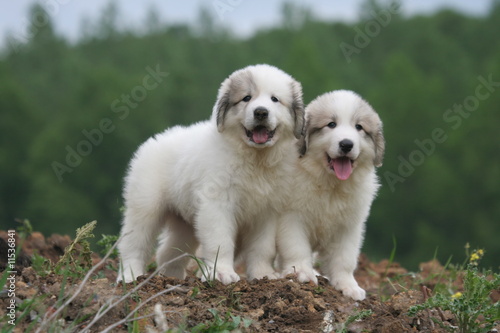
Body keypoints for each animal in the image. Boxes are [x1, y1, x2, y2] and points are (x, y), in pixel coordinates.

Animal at [117, 64, 304, 282]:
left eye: (275, 99)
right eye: (246, 98)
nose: (260, 112)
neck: (254, 158)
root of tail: (154, 140)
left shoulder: (266, 212)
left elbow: (262, 247)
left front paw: (263, 274)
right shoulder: (217, 204)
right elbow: (220, 241)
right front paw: (221, 273)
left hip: (185, 223)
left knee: (169, 251)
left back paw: (172, 277)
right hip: (145, 205)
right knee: (134, 243)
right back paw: (130, 276)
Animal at [276, 89, 384, 300]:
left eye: (359, 127)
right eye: (331, 124)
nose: (346, 144)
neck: (330, 185)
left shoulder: (348, 226)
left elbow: (344, 258)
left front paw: (348, 286)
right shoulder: (292, 217)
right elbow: (296, 247)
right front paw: (301, 273)